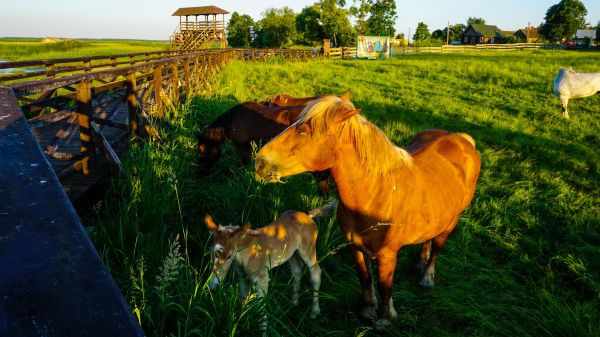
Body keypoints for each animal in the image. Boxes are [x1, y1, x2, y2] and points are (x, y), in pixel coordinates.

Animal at [255, 94, 480, 328]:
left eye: (304, 130)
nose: (259, 161)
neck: (375, 193)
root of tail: (462, 139)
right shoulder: (354, 246)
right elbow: (365, 278)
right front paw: (368, 310)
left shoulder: (387, 255)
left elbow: (384, 286)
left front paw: (384, 319)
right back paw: (419, 263)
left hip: (451, 223)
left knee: (436, 248)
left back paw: (426, 277)